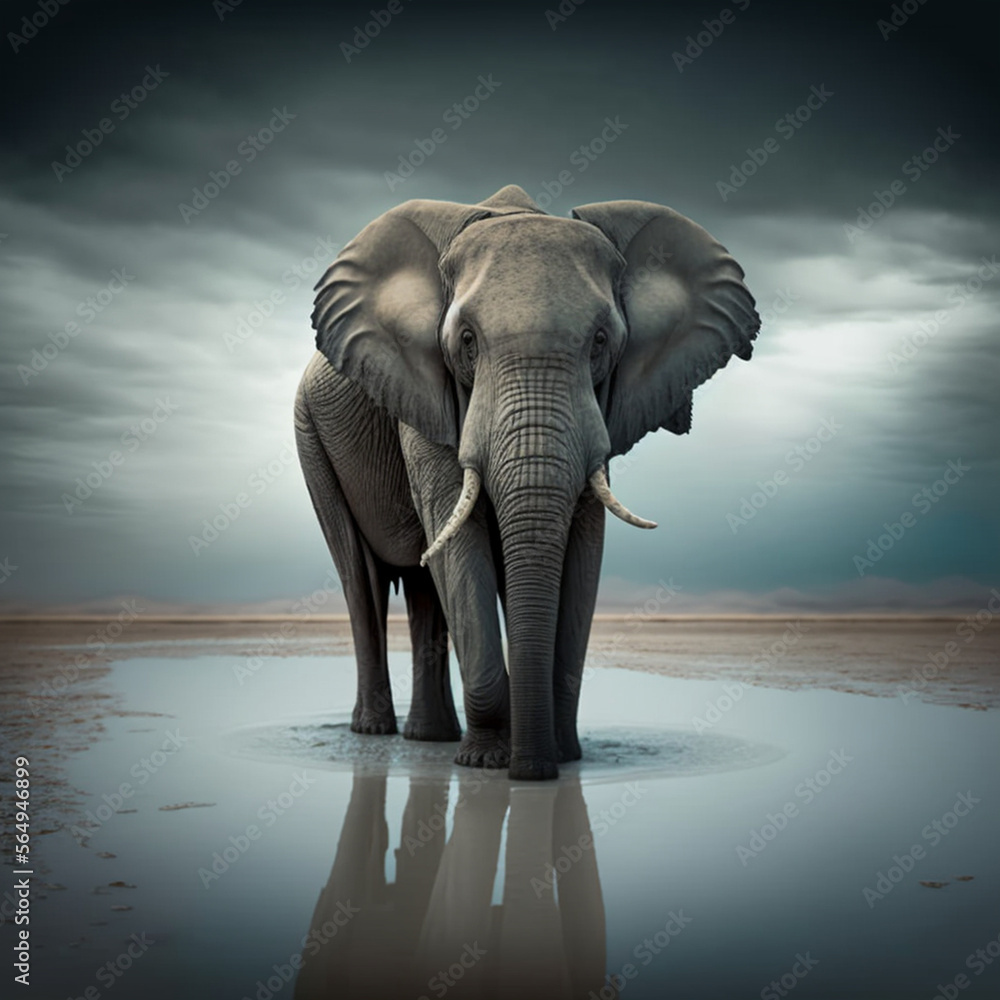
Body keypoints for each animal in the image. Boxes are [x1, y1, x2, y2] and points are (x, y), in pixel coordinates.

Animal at [294, 184, 759, 780]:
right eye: (467, 341)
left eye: (601, 341)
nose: (531, 773)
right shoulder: (429, 400)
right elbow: (459, 540)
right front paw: (490, 762)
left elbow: (581, 551)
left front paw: (558, 756)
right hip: (311, 435)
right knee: (363, 580)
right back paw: (377, 731)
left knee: (424, 590)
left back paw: (430, 739)